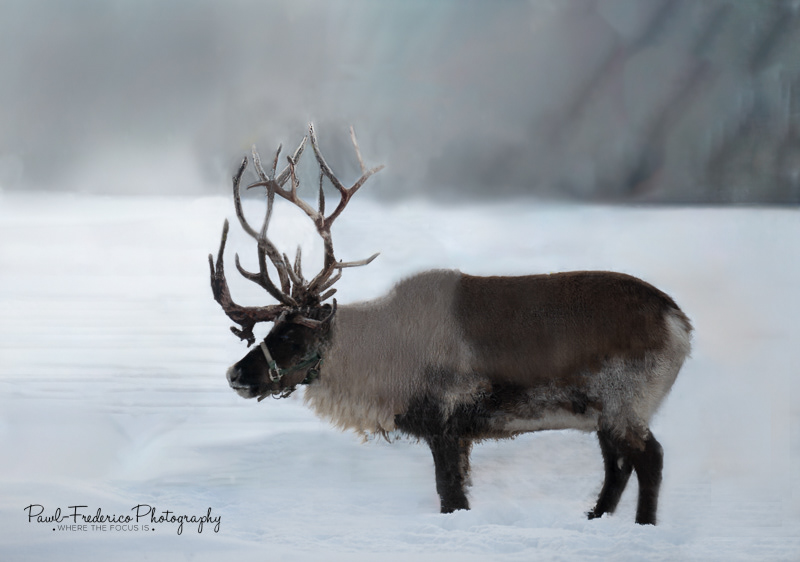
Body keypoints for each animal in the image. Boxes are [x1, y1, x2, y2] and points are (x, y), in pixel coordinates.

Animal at [209, 124, 692, 525]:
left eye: (293, 334)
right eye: (271, 329)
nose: (235, 374)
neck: (380, 366)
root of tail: (680, 322)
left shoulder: (445, 421)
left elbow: (451, 497)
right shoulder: (457, 433)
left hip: (624, 401)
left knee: (651, 459)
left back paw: (643, 526)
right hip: (605, 412)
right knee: (618, 467)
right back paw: (595, 518)